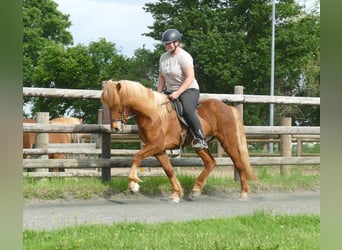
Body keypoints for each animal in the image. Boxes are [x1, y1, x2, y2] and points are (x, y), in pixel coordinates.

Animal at [100, 80, 255, 203]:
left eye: (118, 104)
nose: (115, 128)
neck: (152, 114)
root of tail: (228, 107)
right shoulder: (159, 150)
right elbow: (169, 170)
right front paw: (176, 193)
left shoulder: (155, 145)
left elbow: (137, 156)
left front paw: (133, 185)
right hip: (200, 145)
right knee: (210, 162)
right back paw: (196, 189)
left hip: (227, 141)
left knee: (238, 162)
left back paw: (244, 192)